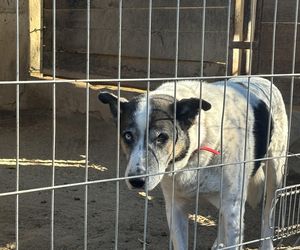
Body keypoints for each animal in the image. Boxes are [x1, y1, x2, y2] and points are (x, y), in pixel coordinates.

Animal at [98, 77, 288, 249]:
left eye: (162, 137)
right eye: (127, 135)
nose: (136, 181)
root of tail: (263, 79)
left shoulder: (233, 208)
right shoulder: (175, 207)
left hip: (274, 174)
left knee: (267, 216)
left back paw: (266, 244)